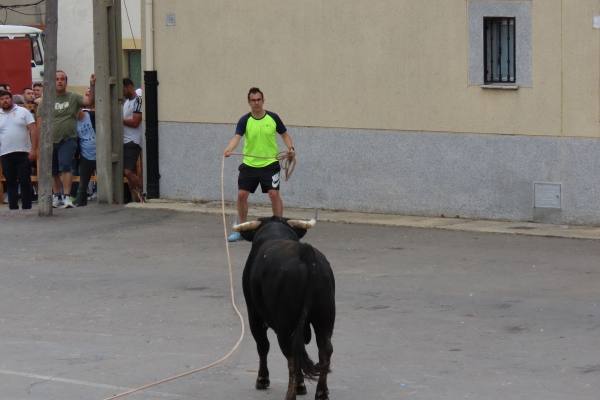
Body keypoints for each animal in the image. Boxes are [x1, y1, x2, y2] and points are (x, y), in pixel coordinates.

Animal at [236, 219, 336, 400]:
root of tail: (306, 253)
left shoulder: (254, 315)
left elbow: (263, 346)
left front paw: (262, 379)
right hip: (324, 318)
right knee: (324, 349)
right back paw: (321, 392)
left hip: (285, 324)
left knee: (291, 354)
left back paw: (291, 394)